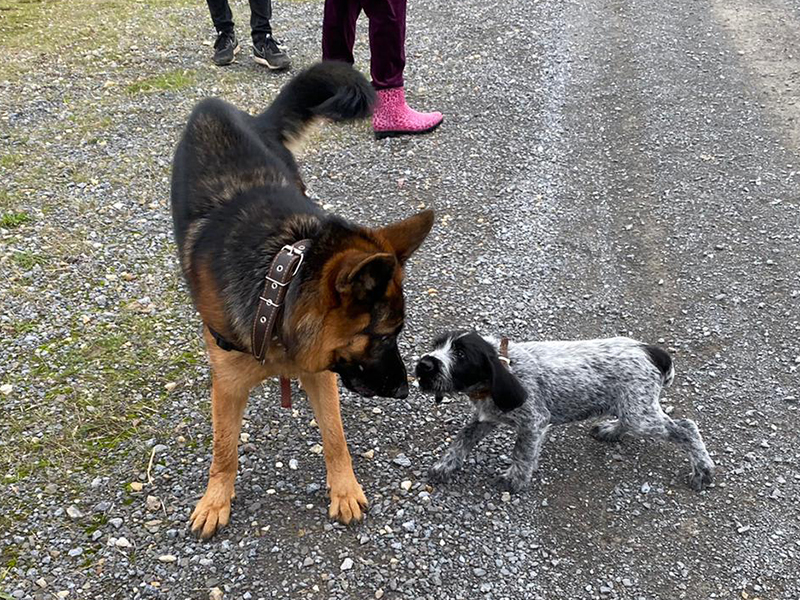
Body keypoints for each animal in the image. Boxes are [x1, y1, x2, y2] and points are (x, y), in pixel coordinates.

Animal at [169, 63, 432, 540]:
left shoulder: (321, 370)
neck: (278, 285)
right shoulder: (228, 384)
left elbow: (335, 437)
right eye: (385, 336)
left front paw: (344, 490)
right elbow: (224, 449)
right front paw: (215, 500)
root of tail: (222, 111)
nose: (406, 390)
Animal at [416, 330, 716, 494]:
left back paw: (702, 470)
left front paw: (515, 480)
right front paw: (445, 465)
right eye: (436, 346)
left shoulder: (534, 422)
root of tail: (650, 351)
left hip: (640, 414)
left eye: (461, 355)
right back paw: (611, 430)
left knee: (687, 427)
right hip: (632, 407)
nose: (424, 365)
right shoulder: (486, 417)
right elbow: (462, 440)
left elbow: (521, 454)